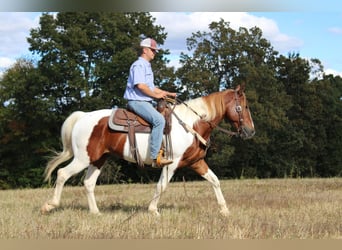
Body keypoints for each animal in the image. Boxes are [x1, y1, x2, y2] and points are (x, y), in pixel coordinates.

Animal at [40, 83, 254, 216]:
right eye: (243, 107)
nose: (250, 131)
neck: (191, 124)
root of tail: (83, 116)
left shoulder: (196, 162)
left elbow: (215, 181)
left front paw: (225, 211)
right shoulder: (171, 164)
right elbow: (161, 186)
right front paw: (153, 210)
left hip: (98, 159)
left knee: (88, 183)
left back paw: (95, 212)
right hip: (82, 159)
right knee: (62, 173)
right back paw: (50, 205)